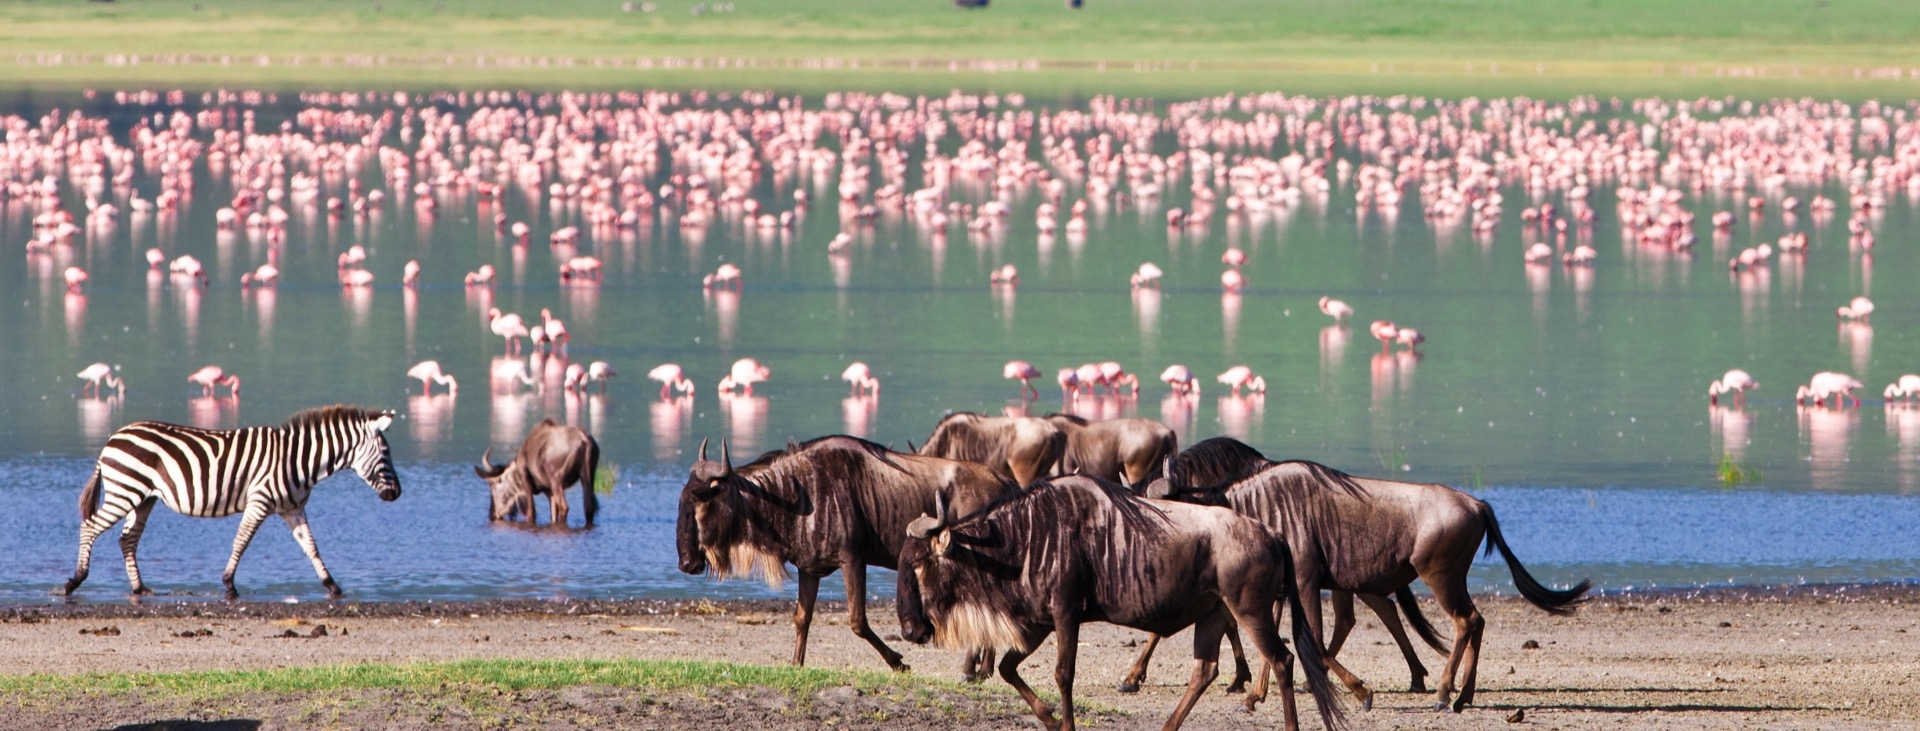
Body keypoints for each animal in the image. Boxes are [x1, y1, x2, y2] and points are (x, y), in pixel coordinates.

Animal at [59, 404, 401, 598]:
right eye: (386, 453)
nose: (397, 494)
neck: (297, 461)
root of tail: (114, 437)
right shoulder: (259, 502)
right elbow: (242, 541)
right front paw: (228, 585)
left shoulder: (293, 508)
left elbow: (312, 547)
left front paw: (332, 585)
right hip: (124, 491)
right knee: (89, 527)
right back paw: (74, 581)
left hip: (142, 498)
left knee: (127, 539)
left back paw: (139, 588)